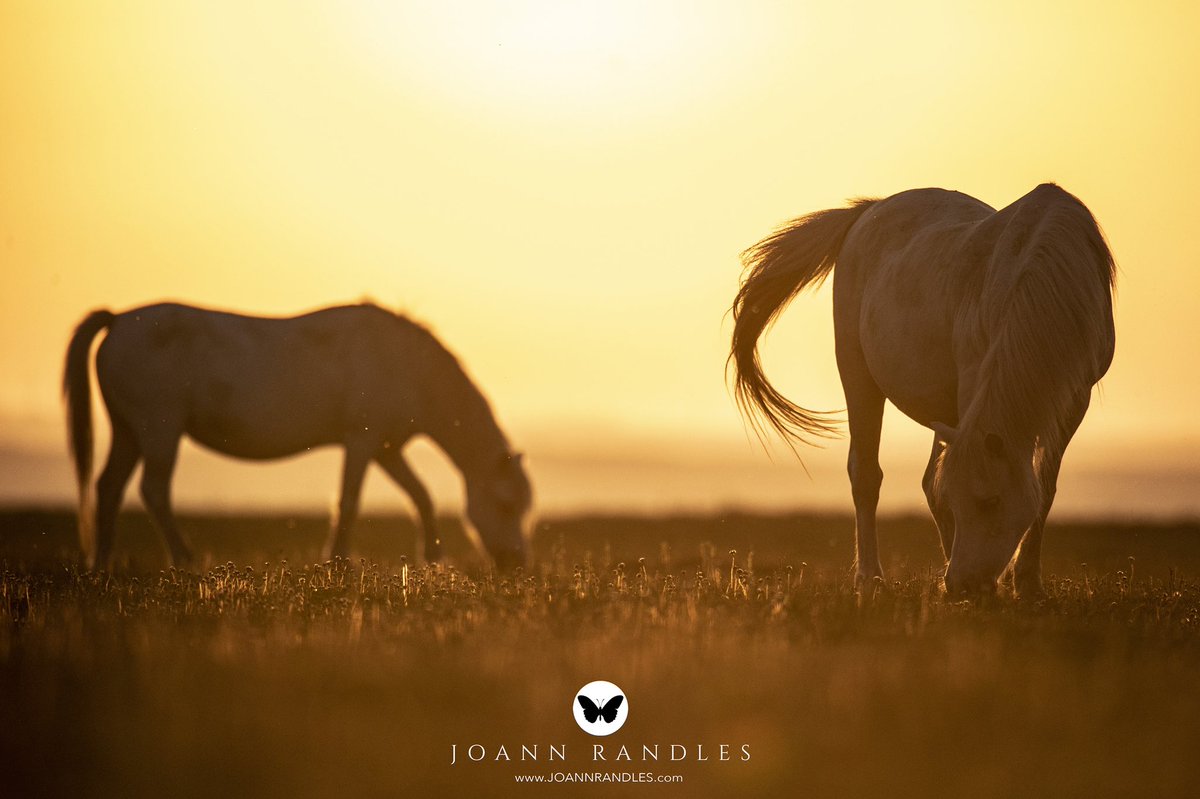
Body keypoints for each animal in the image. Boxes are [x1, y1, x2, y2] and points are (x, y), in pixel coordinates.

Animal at [63, 302, 532, 571]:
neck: (407, 365)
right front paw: (337, 562)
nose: (515, 563)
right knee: (154, 490)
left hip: (128, 432)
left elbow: (420, 496)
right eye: (505, 504)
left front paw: (432, 558)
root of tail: (119, 321)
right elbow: (349, 502)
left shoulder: (387, 448)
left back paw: (101, 564)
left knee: (108, 487)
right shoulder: (363, 442)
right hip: (159, 429)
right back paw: (184, 560)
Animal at [730, 184, 1115, 596]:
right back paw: (870, 578)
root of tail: (870, 211)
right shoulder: (975, 381)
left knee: (928, 478)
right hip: (857, 373)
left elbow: (1044, 487)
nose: (964, 585)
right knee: (866, 475)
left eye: (990, 501)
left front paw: (1027, 583)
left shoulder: (1075, 398)